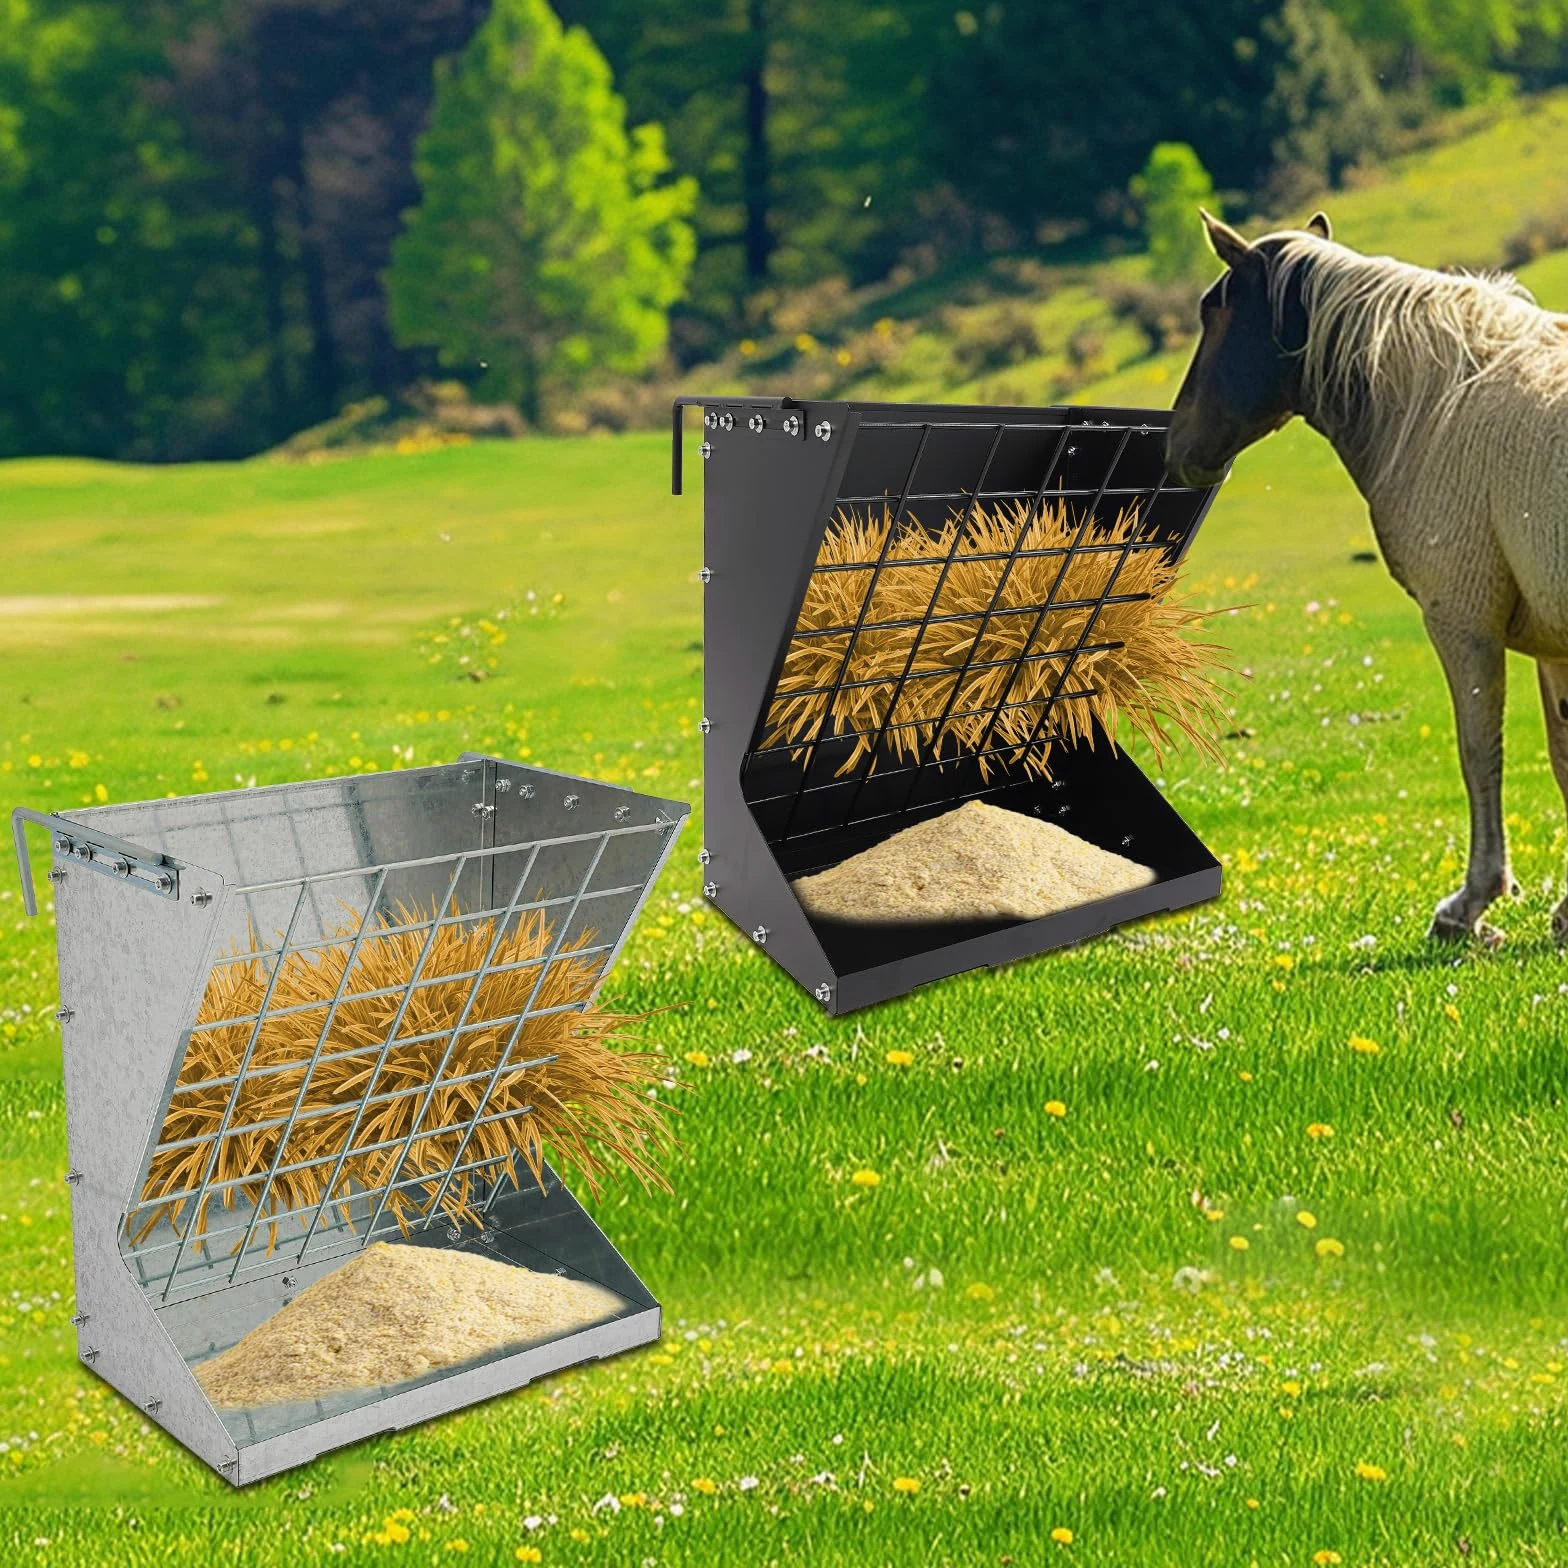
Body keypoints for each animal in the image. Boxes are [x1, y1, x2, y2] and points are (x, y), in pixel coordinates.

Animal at [1165, 208, 1568, 948]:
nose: (1178, 447)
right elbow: (1562, 758)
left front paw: (1471, 905)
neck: (1445, 403)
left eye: (1214, 314)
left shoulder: (1462, 620)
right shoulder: (1552, 643)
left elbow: (1479, 752)